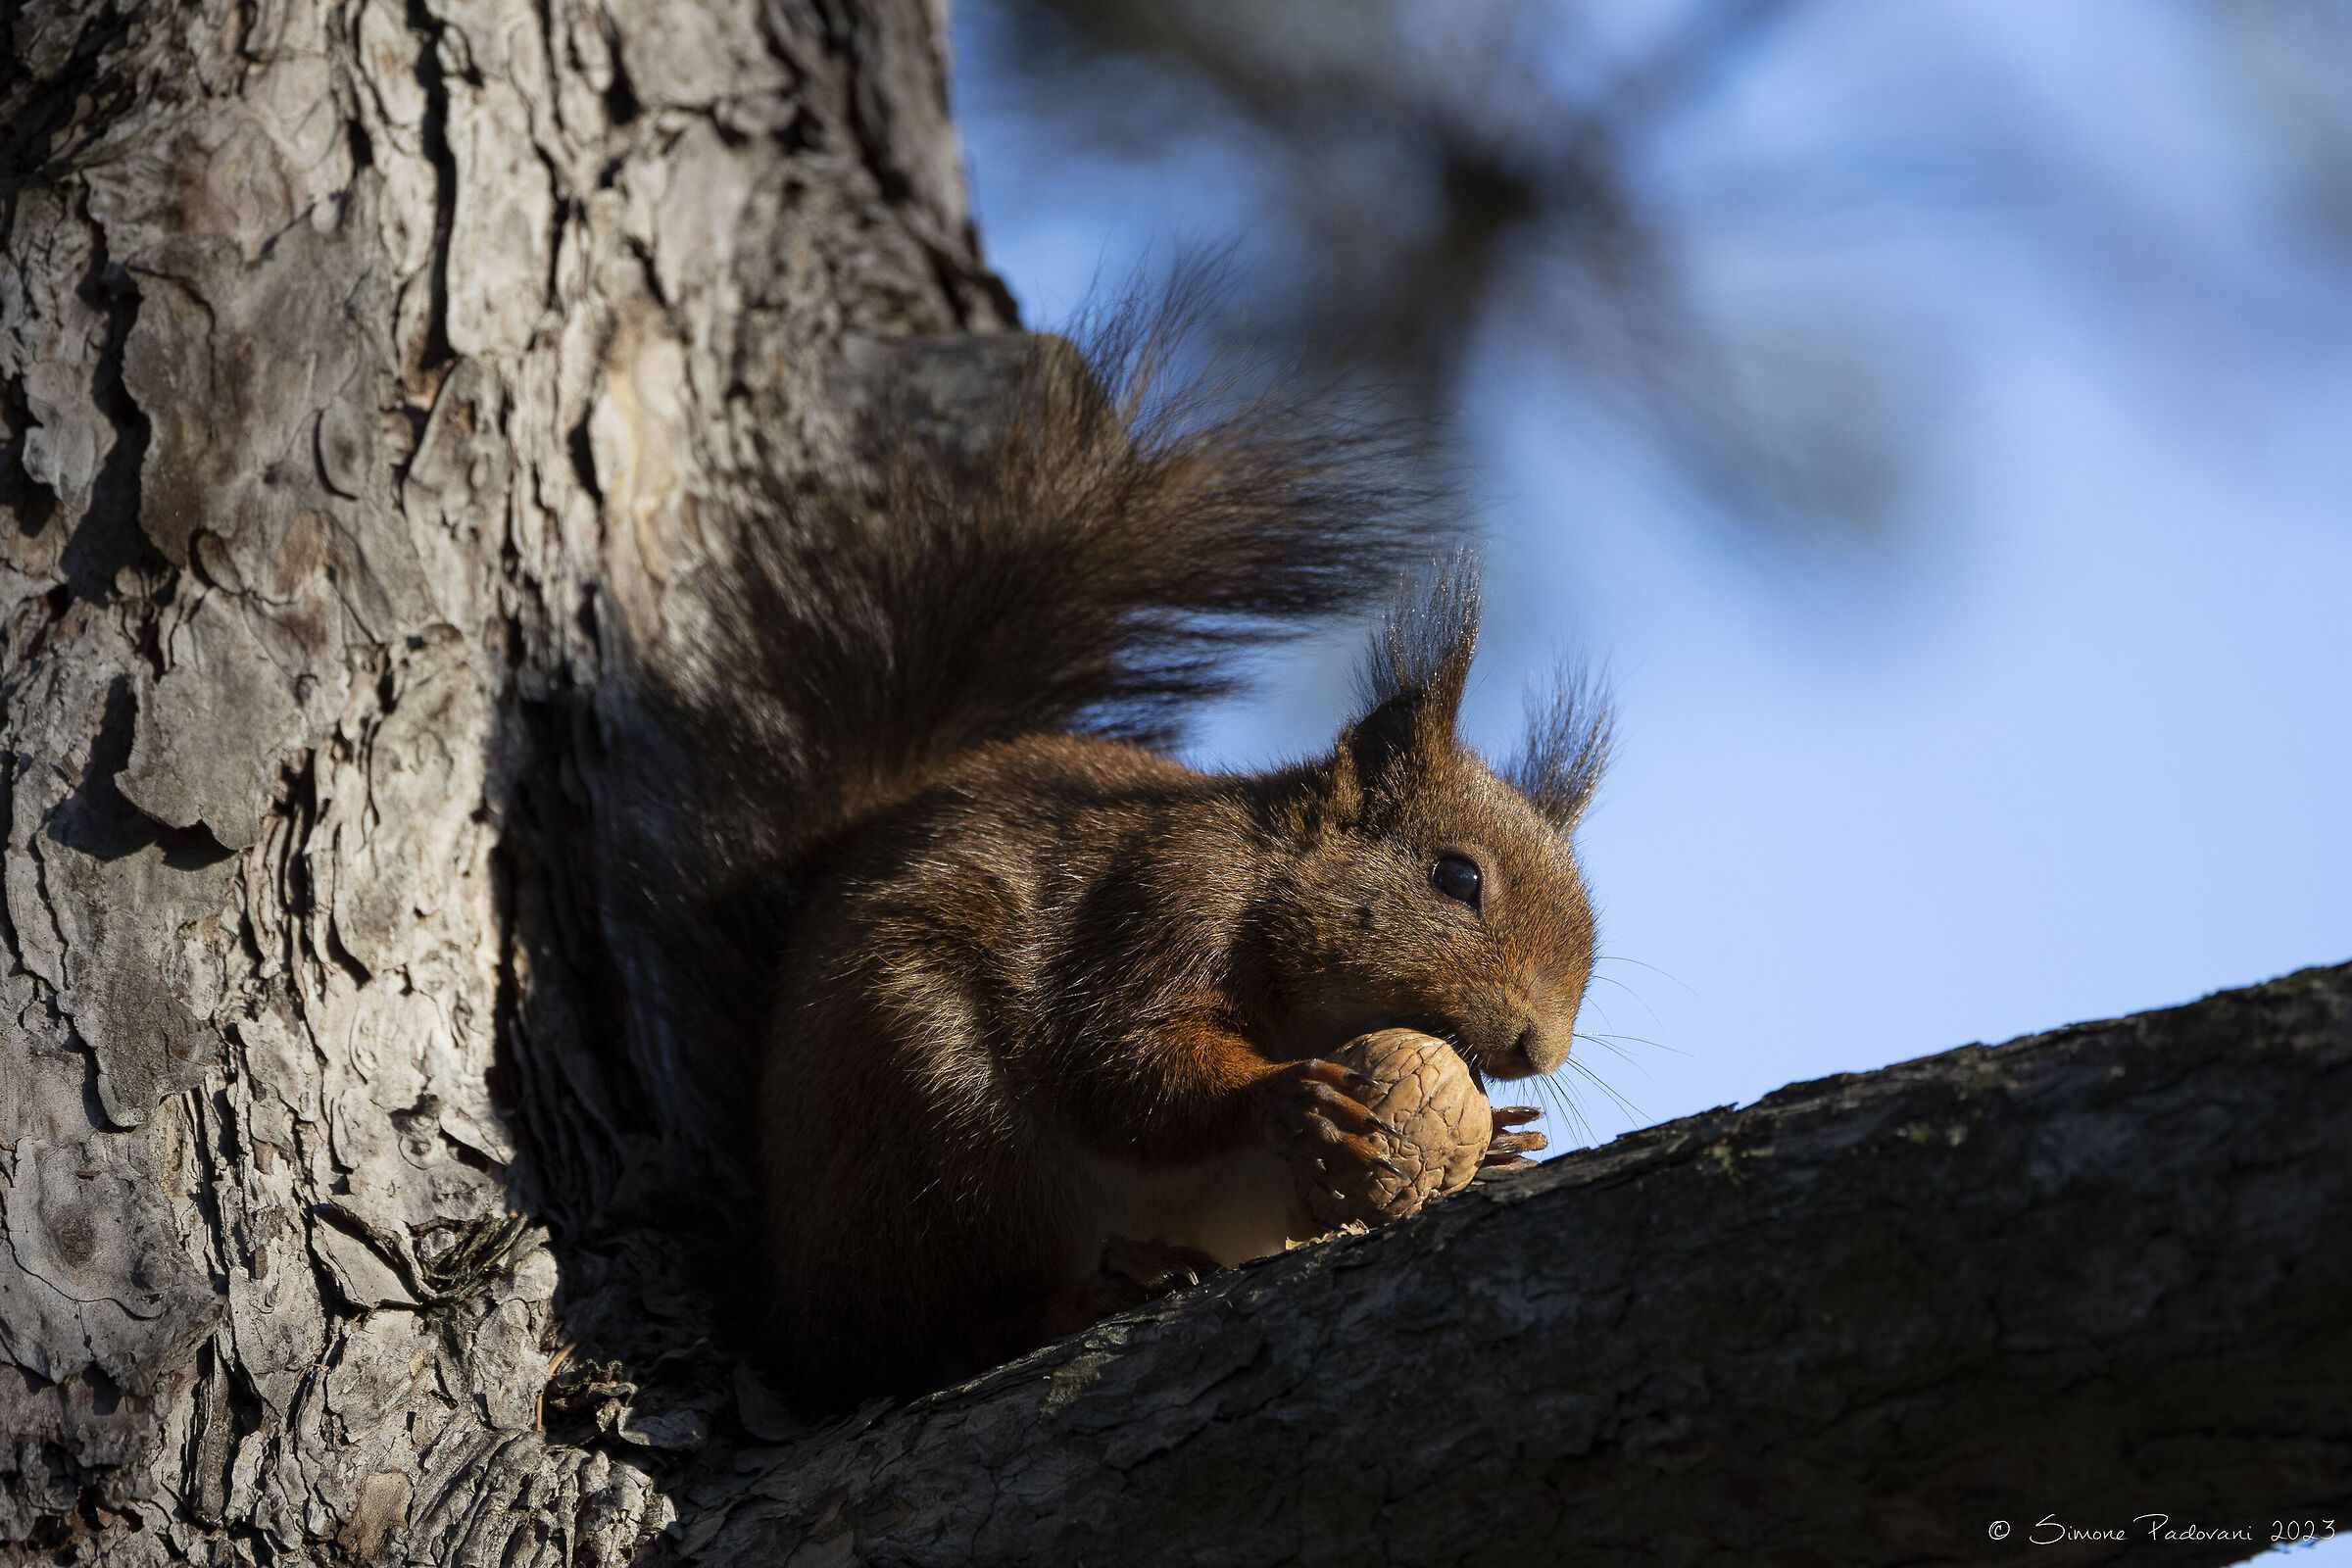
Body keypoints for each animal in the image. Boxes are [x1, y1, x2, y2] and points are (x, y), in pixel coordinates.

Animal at [621, 303, 1610, 1409]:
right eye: (1456, 876)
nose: (1538, 1049)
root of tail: (792, 1304)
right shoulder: (1164, 899)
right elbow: (1114, 1057)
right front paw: (1287, 1093)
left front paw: (1496, 1148)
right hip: (935, 1118)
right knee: (933, 1334)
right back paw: (1085, 1295)